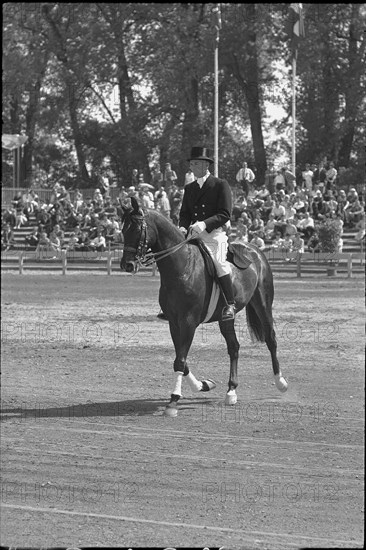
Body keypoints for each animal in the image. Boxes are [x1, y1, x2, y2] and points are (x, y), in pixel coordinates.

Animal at [120, 196, 286, 416]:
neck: (182, 267)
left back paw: (280, 382)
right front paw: (203, 385)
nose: (127, 265)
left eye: (138, 228)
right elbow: (181, 360)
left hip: (263, 304)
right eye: (123, 230)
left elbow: (180, 360)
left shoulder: (188, 322)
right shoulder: (174, 323)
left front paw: (173, 401)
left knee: (271, 339)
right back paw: (231, 391)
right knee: (234, 347)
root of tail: (255, 250)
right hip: (226, 318)